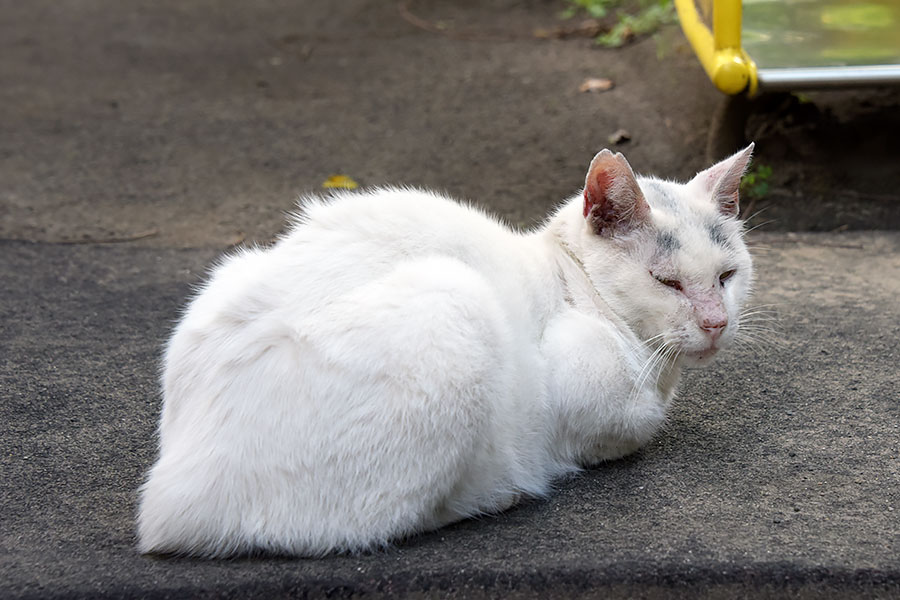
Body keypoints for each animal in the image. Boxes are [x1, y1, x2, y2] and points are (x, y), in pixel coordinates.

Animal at [137, 145, 756, 556]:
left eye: (727, 276)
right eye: (667, 283)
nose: (716, 322)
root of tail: (169, 500)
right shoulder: (585, 385)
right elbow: (635, 424)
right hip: (454, 303)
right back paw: (500, 492)